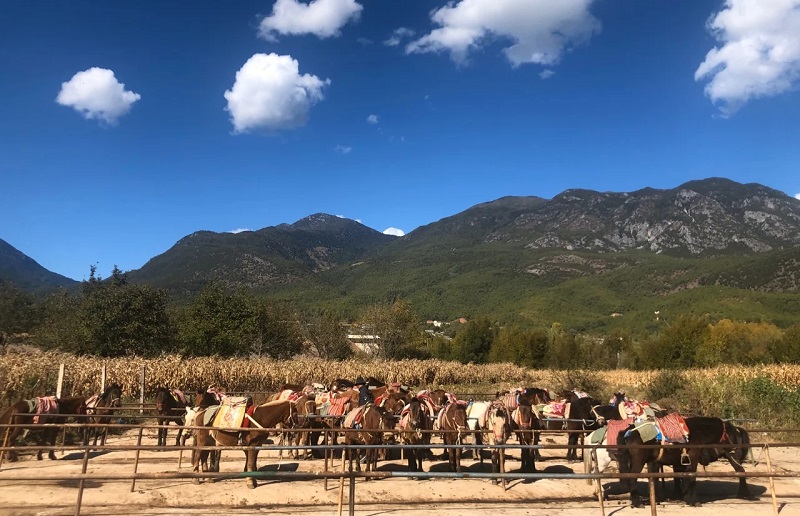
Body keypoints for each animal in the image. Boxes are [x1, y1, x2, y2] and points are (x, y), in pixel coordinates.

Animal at [616, 418, 752, 506]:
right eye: (732, 433)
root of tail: (628, 432)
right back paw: (637, 502)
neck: (698, 432)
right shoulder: (693, 460)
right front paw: (693, 501)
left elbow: (684, 478)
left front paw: (687, 498)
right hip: (638, 462)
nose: (738, 450)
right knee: (632, 478)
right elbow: (691, 478)